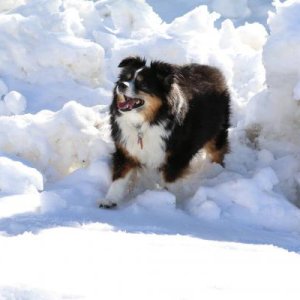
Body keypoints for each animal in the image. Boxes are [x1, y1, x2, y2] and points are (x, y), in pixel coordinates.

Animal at [99, 55, 231, 209]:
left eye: (142, 84)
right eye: (126, 78)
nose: (121, 85)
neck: (145, 123)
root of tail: (213, 70)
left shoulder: (177, 156)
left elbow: (169, 182)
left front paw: (167, 200)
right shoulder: (126, 150)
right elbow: (119, 178)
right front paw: (109, 200)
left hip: (218, 131)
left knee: (218, 151)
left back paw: (216, 170)